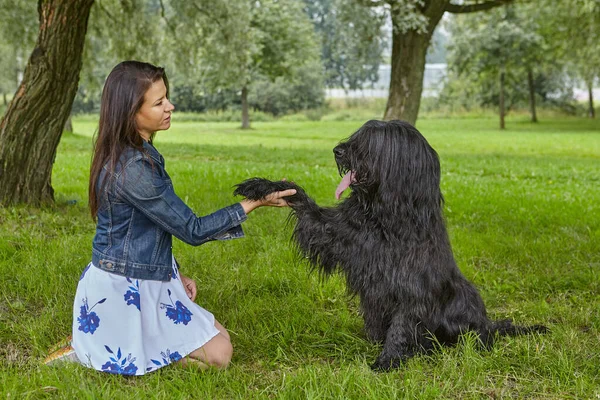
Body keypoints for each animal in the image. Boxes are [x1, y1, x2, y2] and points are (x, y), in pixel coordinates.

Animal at [234, 120, 548, 370]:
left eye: (372, 142)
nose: (338, 150)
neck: (385, 217)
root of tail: (487, 323)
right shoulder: (338, 234)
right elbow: (301, 200)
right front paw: (262, 186)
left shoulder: (411, 286)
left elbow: (402, 323)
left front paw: (388, 360)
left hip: (464, 297)